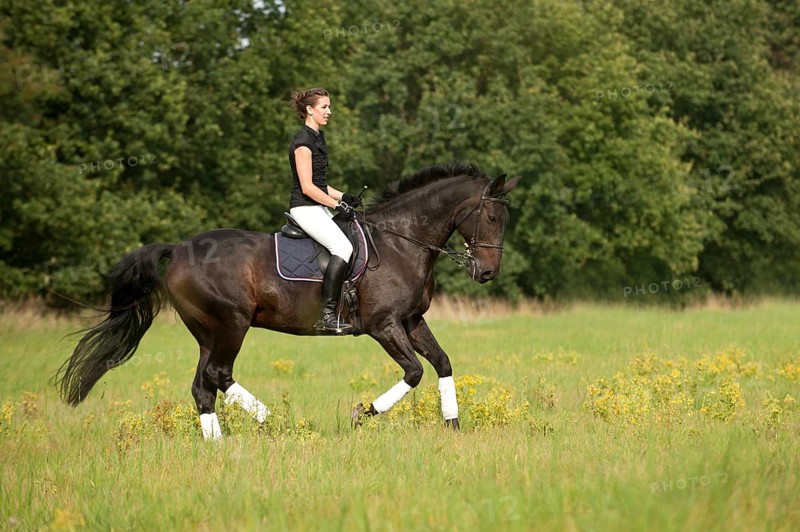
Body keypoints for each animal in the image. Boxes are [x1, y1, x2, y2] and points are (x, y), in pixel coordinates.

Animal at [55, 163, 520, 439]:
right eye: (491, 216)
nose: (486, 273)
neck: (401, 241)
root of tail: (180, 248)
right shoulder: (384, 325)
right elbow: (414, 372)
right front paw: (361, 413)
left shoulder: (411, 320)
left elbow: (441, 363)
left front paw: (453, 424)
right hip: (232, 323)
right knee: (219, 375)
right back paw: (271, 420)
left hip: (207, 331)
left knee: (203, 386)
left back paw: (217, 443)